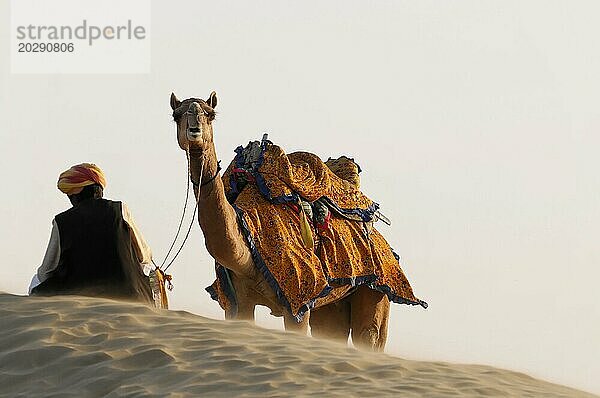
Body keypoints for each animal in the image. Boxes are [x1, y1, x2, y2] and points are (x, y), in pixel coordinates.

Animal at [168, 90, 398, 348]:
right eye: (176, 115)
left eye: (210, 114)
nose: (194, 131)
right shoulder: (237, 303)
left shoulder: (300, 295)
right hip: (333, 303)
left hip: (378, 288)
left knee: (369, 334)